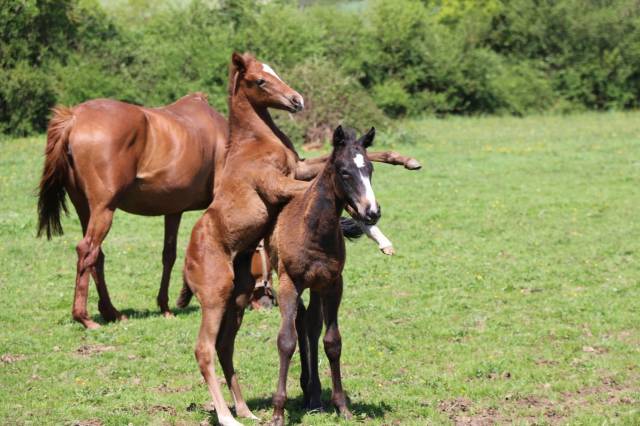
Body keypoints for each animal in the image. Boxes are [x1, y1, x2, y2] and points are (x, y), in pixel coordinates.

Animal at [266, 125, 380, 424]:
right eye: (344, 171)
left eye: (370, 169)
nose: (372, 212)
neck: (314, 231)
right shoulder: (288, 283)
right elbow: (286, 341)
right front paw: (278, 411)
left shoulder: (332, 283)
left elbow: (332, 341)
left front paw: (342, 406)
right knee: (301, 323)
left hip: (316, 286)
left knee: (311, 324)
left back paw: (314, 395)